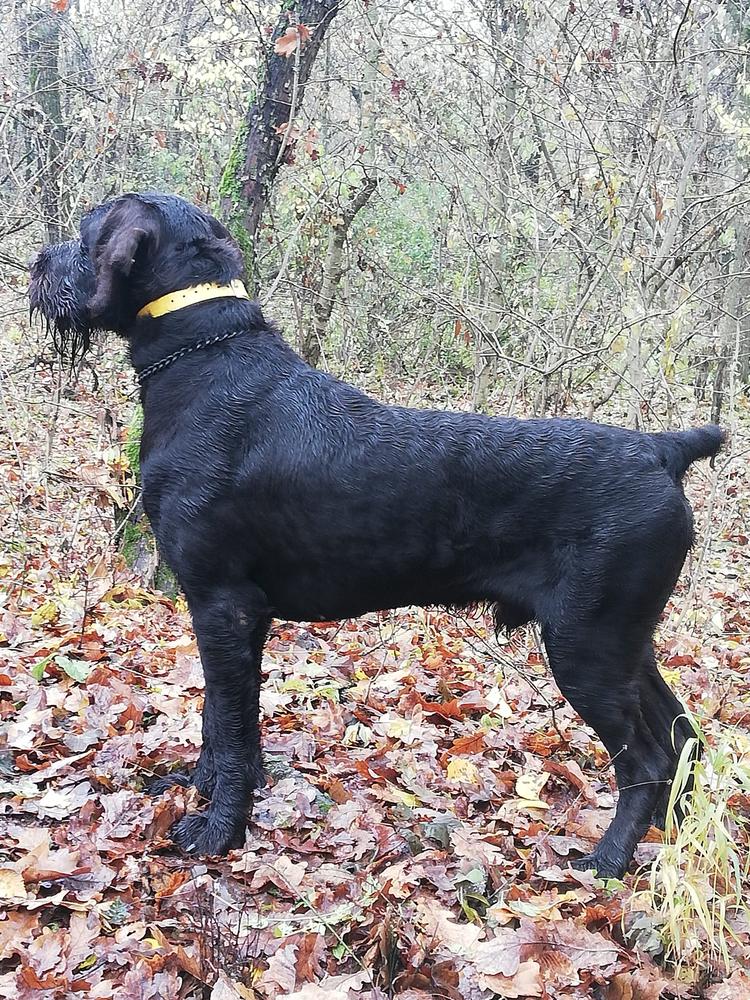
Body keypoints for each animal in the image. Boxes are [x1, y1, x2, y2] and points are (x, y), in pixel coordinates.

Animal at [27, 193, 724, 876]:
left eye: (88, 233)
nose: (37, 261)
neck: (203, 359)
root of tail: (662, 451)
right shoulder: (235, 616)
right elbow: (221, 720)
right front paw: (199, 786)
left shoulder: (222, 604)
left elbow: (229, 722)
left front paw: (218, 831)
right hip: (623, 641)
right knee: (683, 736)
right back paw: (673, 845)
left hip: (587, 646)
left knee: (648, 759)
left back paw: (609, 860)